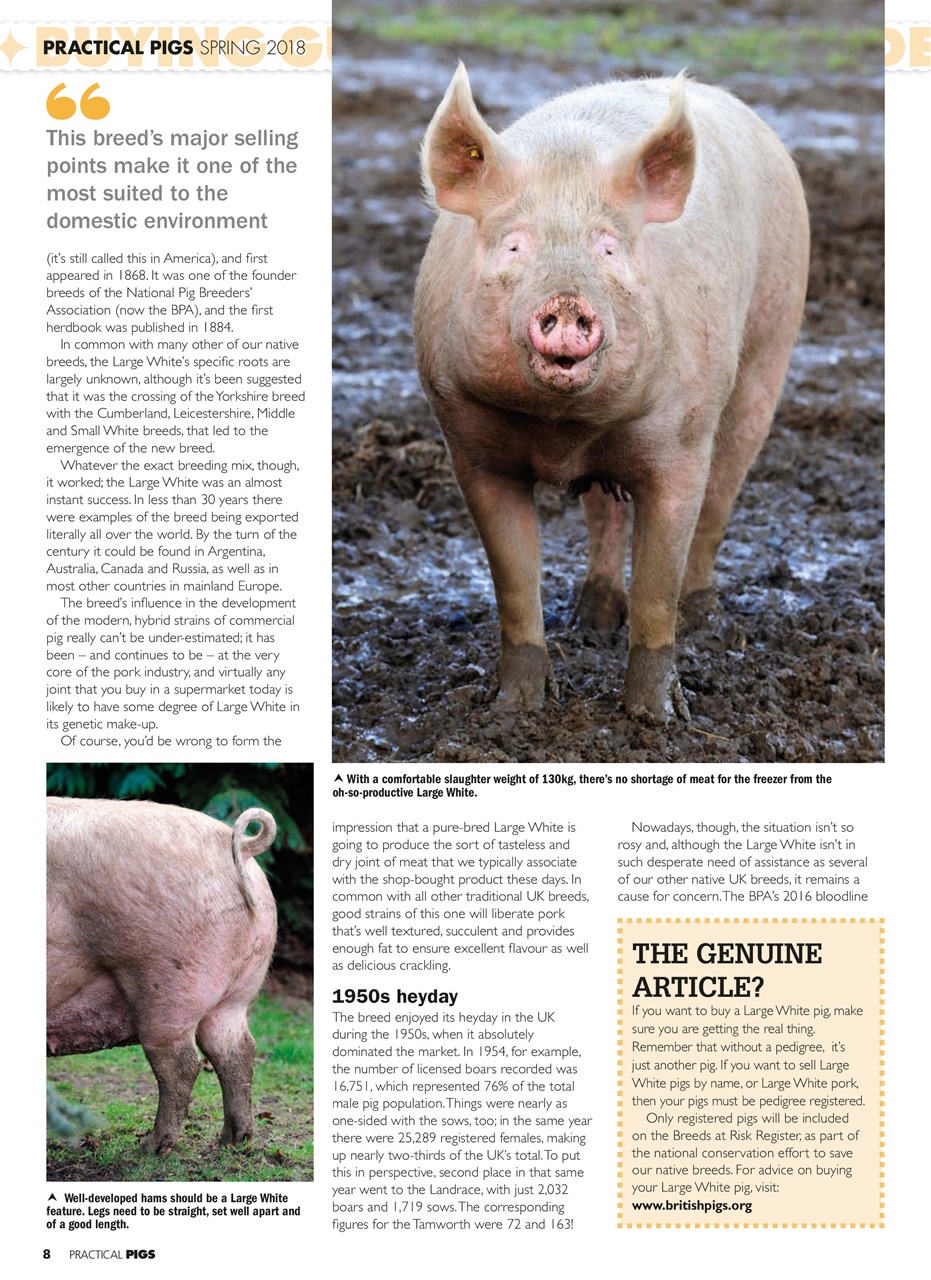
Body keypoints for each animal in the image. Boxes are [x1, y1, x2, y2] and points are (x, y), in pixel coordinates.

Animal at [47, 798, 278, 1154]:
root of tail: (241, 846)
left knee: (181, 1065)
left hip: (167, 988)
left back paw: (149, 1147)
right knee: (236, 1051)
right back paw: (230, 1142)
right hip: (237, 993)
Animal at [414, 65, 809, 722]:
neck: (564, 430)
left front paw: (658, 718)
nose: (568, 300)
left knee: (723, 491)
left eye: (608, 248)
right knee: (604, 511)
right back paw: (592, 620)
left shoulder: (681, 439)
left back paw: (704, 619)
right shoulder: (469, 442)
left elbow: (658, 582)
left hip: (771, 343)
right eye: (514, 244)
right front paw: (514, 710)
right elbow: (514, 580)